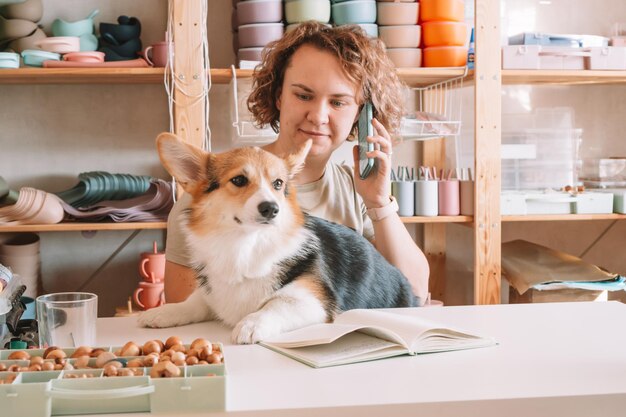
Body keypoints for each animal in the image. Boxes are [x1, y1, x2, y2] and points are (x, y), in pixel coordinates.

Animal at [139, 132, 416, 342]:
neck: (244, 245)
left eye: (279, 184)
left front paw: (250, 324)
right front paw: (163, 312)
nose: (271, 208)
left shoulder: (312, 300)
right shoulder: (213, 293)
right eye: (238, 180)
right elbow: (192, 302)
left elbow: (274, 306)